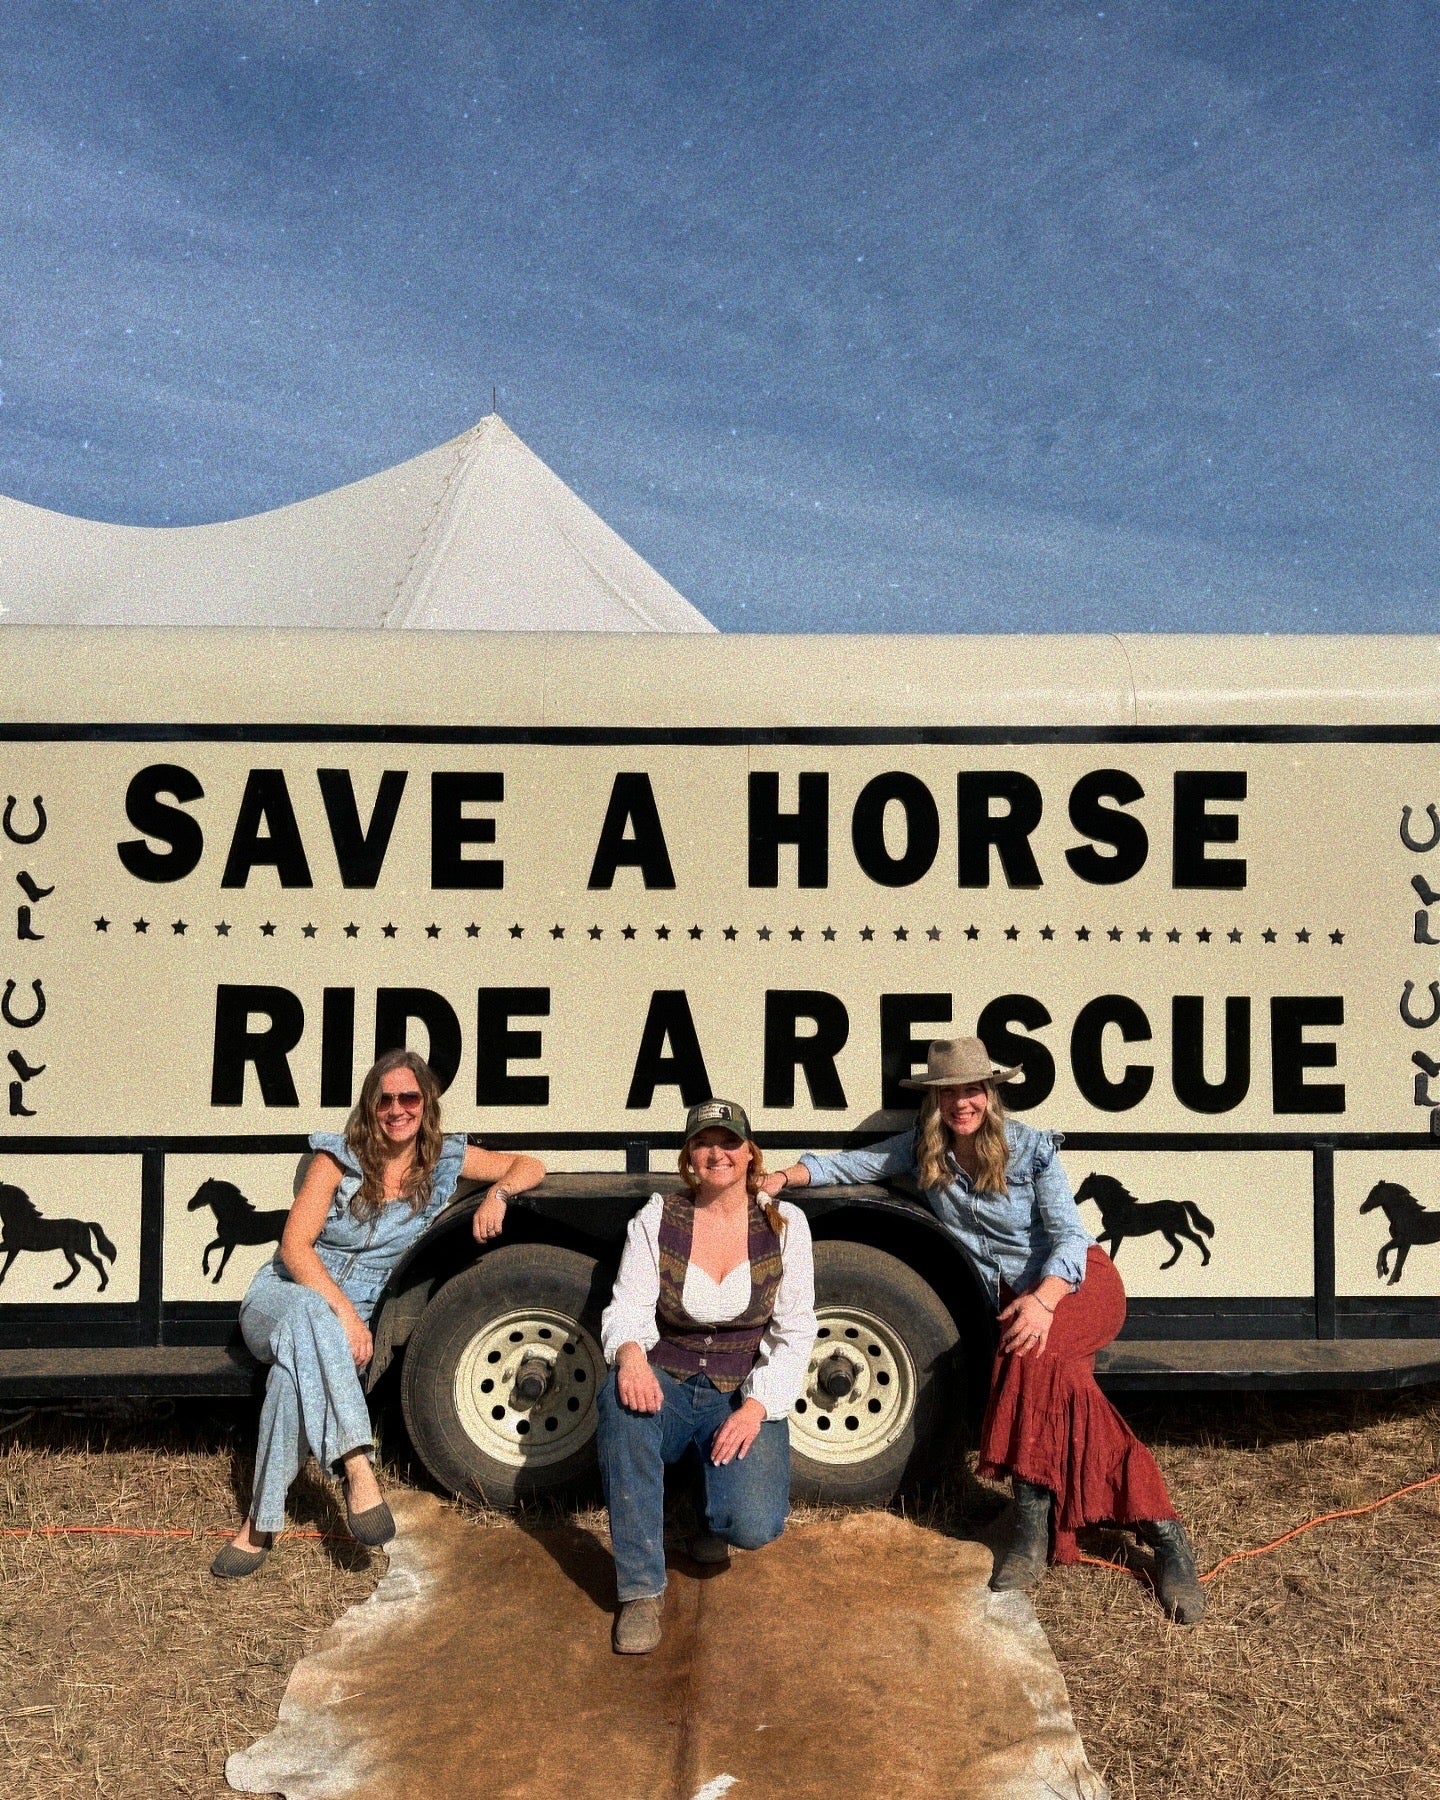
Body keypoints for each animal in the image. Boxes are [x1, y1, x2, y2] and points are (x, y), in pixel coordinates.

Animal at [1065, 1173, 1216, 1274]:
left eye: (1085, 1186)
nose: (1075, 1199)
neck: (1116, 1206)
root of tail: (1180, 1204)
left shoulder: (1116, 1234)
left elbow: (1112, 1251)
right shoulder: (1112, 1234)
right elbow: (1099, 1243)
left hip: (1180, 1228)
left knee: (1197, 1238)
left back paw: (1205, 1261)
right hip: (1168, 1231)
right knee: (1179, 1246)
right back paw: (1166, 1265)